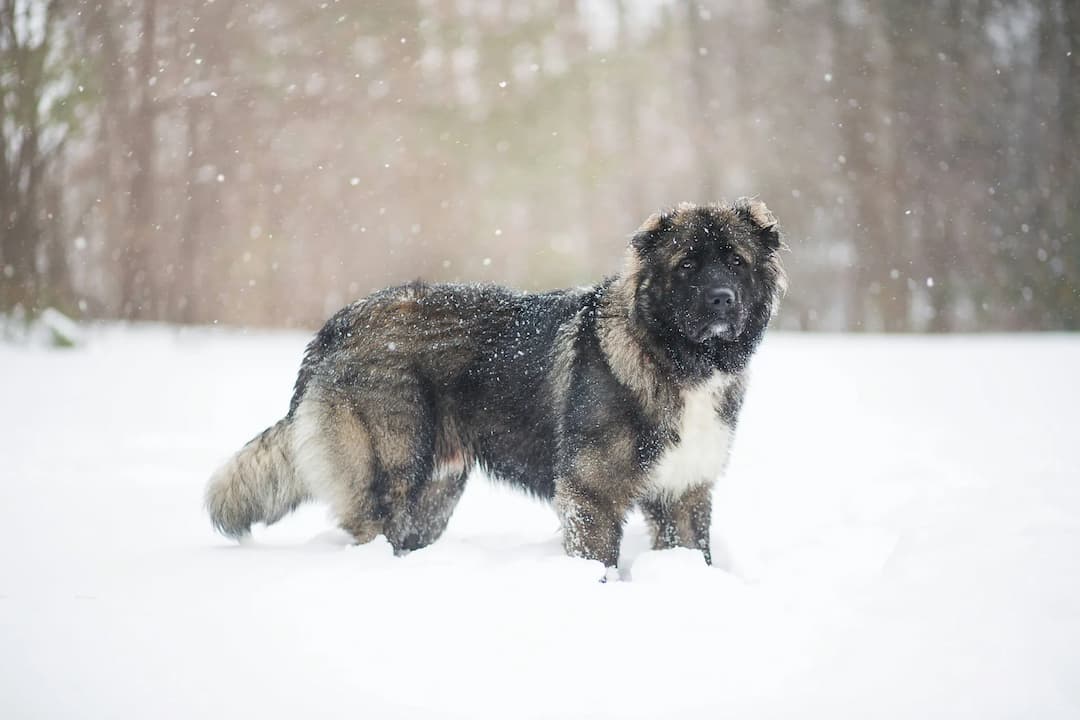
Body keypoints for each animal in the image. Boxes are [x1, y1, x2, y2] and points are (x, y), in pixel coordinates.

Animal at [206, 197, 790, 569]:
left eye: (735, 261)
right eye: (688, 265)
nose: (722, 300)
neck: (673, 357)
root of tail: (338, 324)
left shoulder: (686, 492)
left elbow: (695, 553)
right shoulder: (591, 494)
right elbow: (598, 560)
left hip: (436, 493)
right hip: (391, 473)